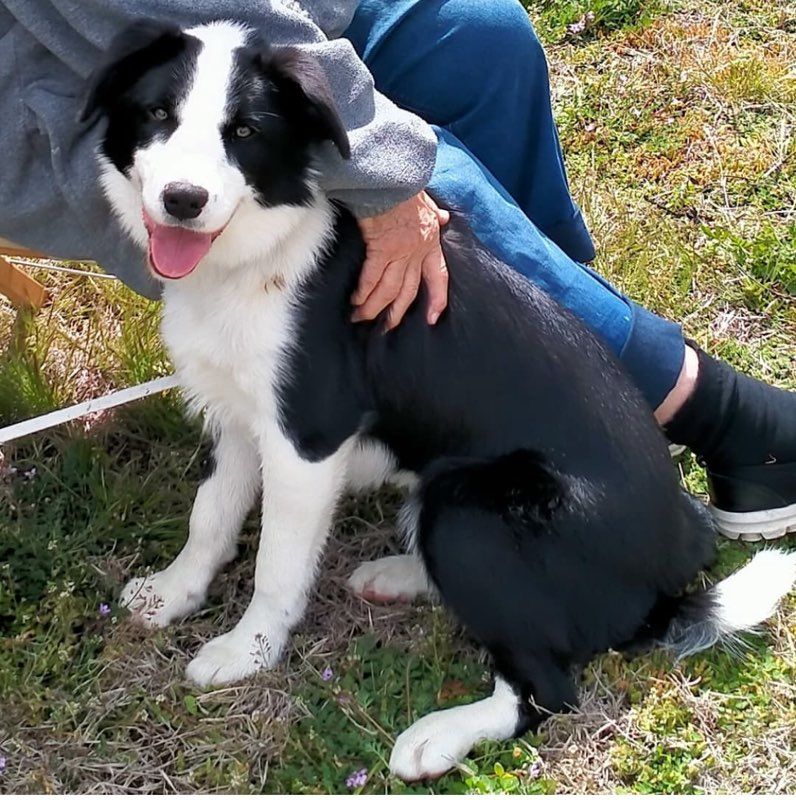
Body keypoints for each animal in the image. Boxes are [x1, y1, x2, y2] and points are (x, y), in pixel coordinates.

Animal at [82, 20, 796, 780]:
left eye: (244, 130)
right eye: (158, 114)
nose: (182, 200)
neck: (252, 259)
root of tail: (670, 579)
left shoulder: (308, 435)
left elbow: (277, 558)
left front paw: (248, 651)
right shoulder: (239, 414)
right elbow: (211, 514)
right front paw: (175, 592)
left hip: (469, 507)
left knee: (545, 686)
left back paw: (438, 735)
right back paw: (402, 573)